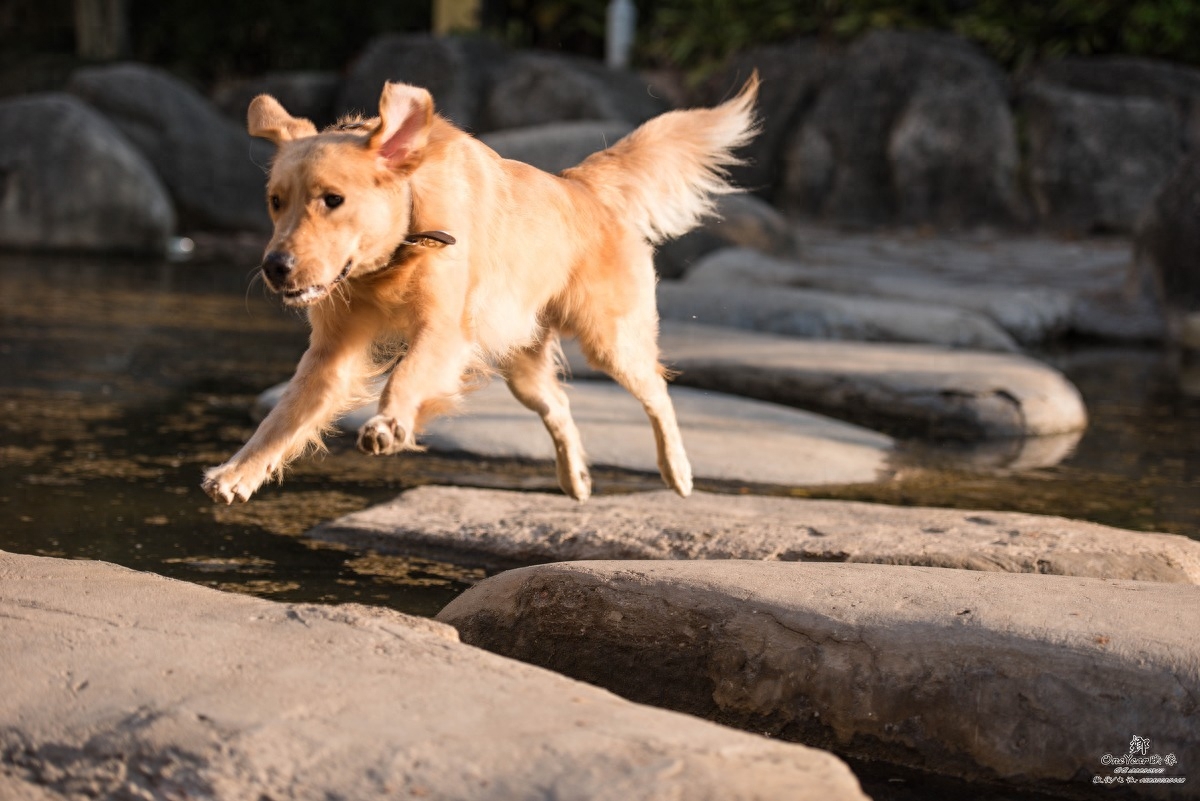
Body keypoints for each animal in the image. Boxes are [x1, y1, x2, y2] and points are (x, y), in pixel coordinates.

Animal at [200, 73, 753, 501]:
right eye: (276, 201)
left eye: (332, 199)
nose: (275, 266)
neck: (397, 250)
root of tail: (581, 186)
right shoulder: (332, 353)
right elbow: (282, 418)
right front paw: (238, 472)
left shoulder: (444, 330)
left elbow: (407, 376)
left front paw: (390, 424)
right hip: (522, 363)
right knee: (559, 405)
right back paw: (574, 478)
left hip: (610, 339)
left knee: (658, 392)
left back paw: (677, 470)